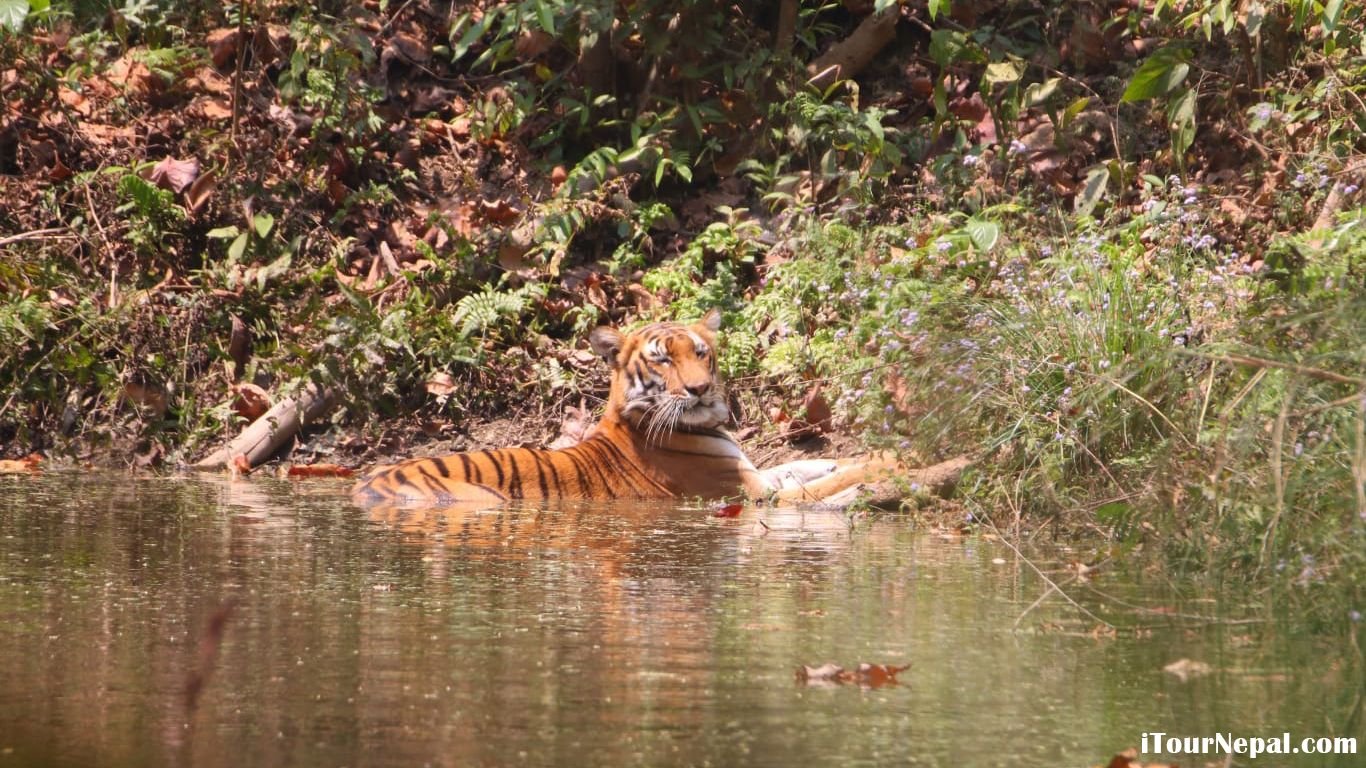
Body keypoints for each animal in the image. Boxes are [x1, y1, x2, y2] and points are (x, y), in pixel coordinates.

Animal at [351, 309, 901, 507]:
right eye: (663, 359)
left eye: (701, 353)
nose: (701, 389)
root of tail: (367, 483)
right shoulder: (750, 493)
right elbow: (817, 487)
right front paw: (885, 464)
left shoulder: (755, 473)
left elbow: (809, 465)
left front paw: (854, 458)